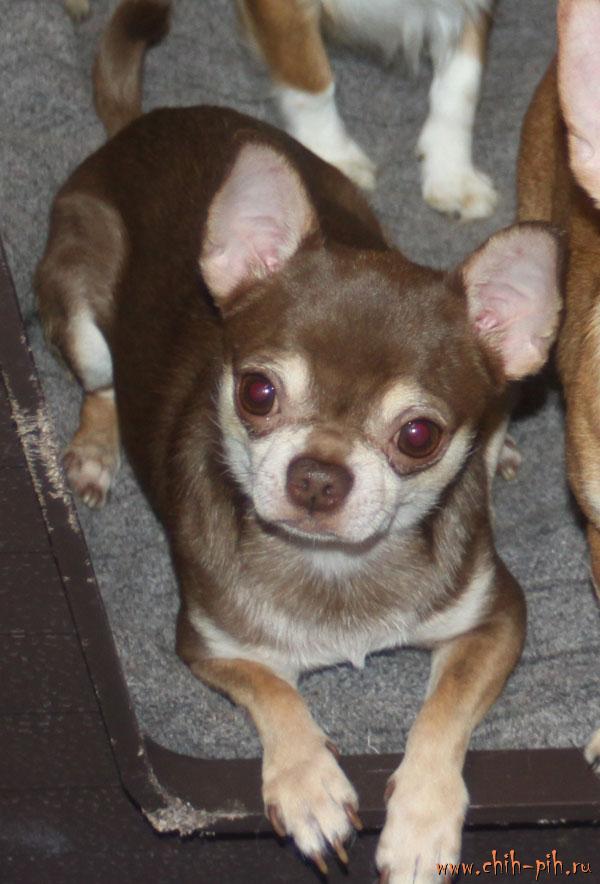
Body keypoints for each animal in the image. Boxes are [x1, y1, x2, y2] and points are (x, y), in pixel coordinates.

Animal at [38, 1, 562, 880]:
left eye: (418, 435)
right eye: (257, 391)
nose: (319, 474)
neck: (334, 570)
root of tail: (138, 126)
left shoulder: (494, 621)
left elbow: (443, 712)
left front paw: (420, 824)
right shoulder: (212, 646)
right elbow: (276, 690)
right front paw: (309, 786)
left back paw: (499, 446)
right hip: (78, 313)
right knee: (100, 387)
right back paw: (89, 453)